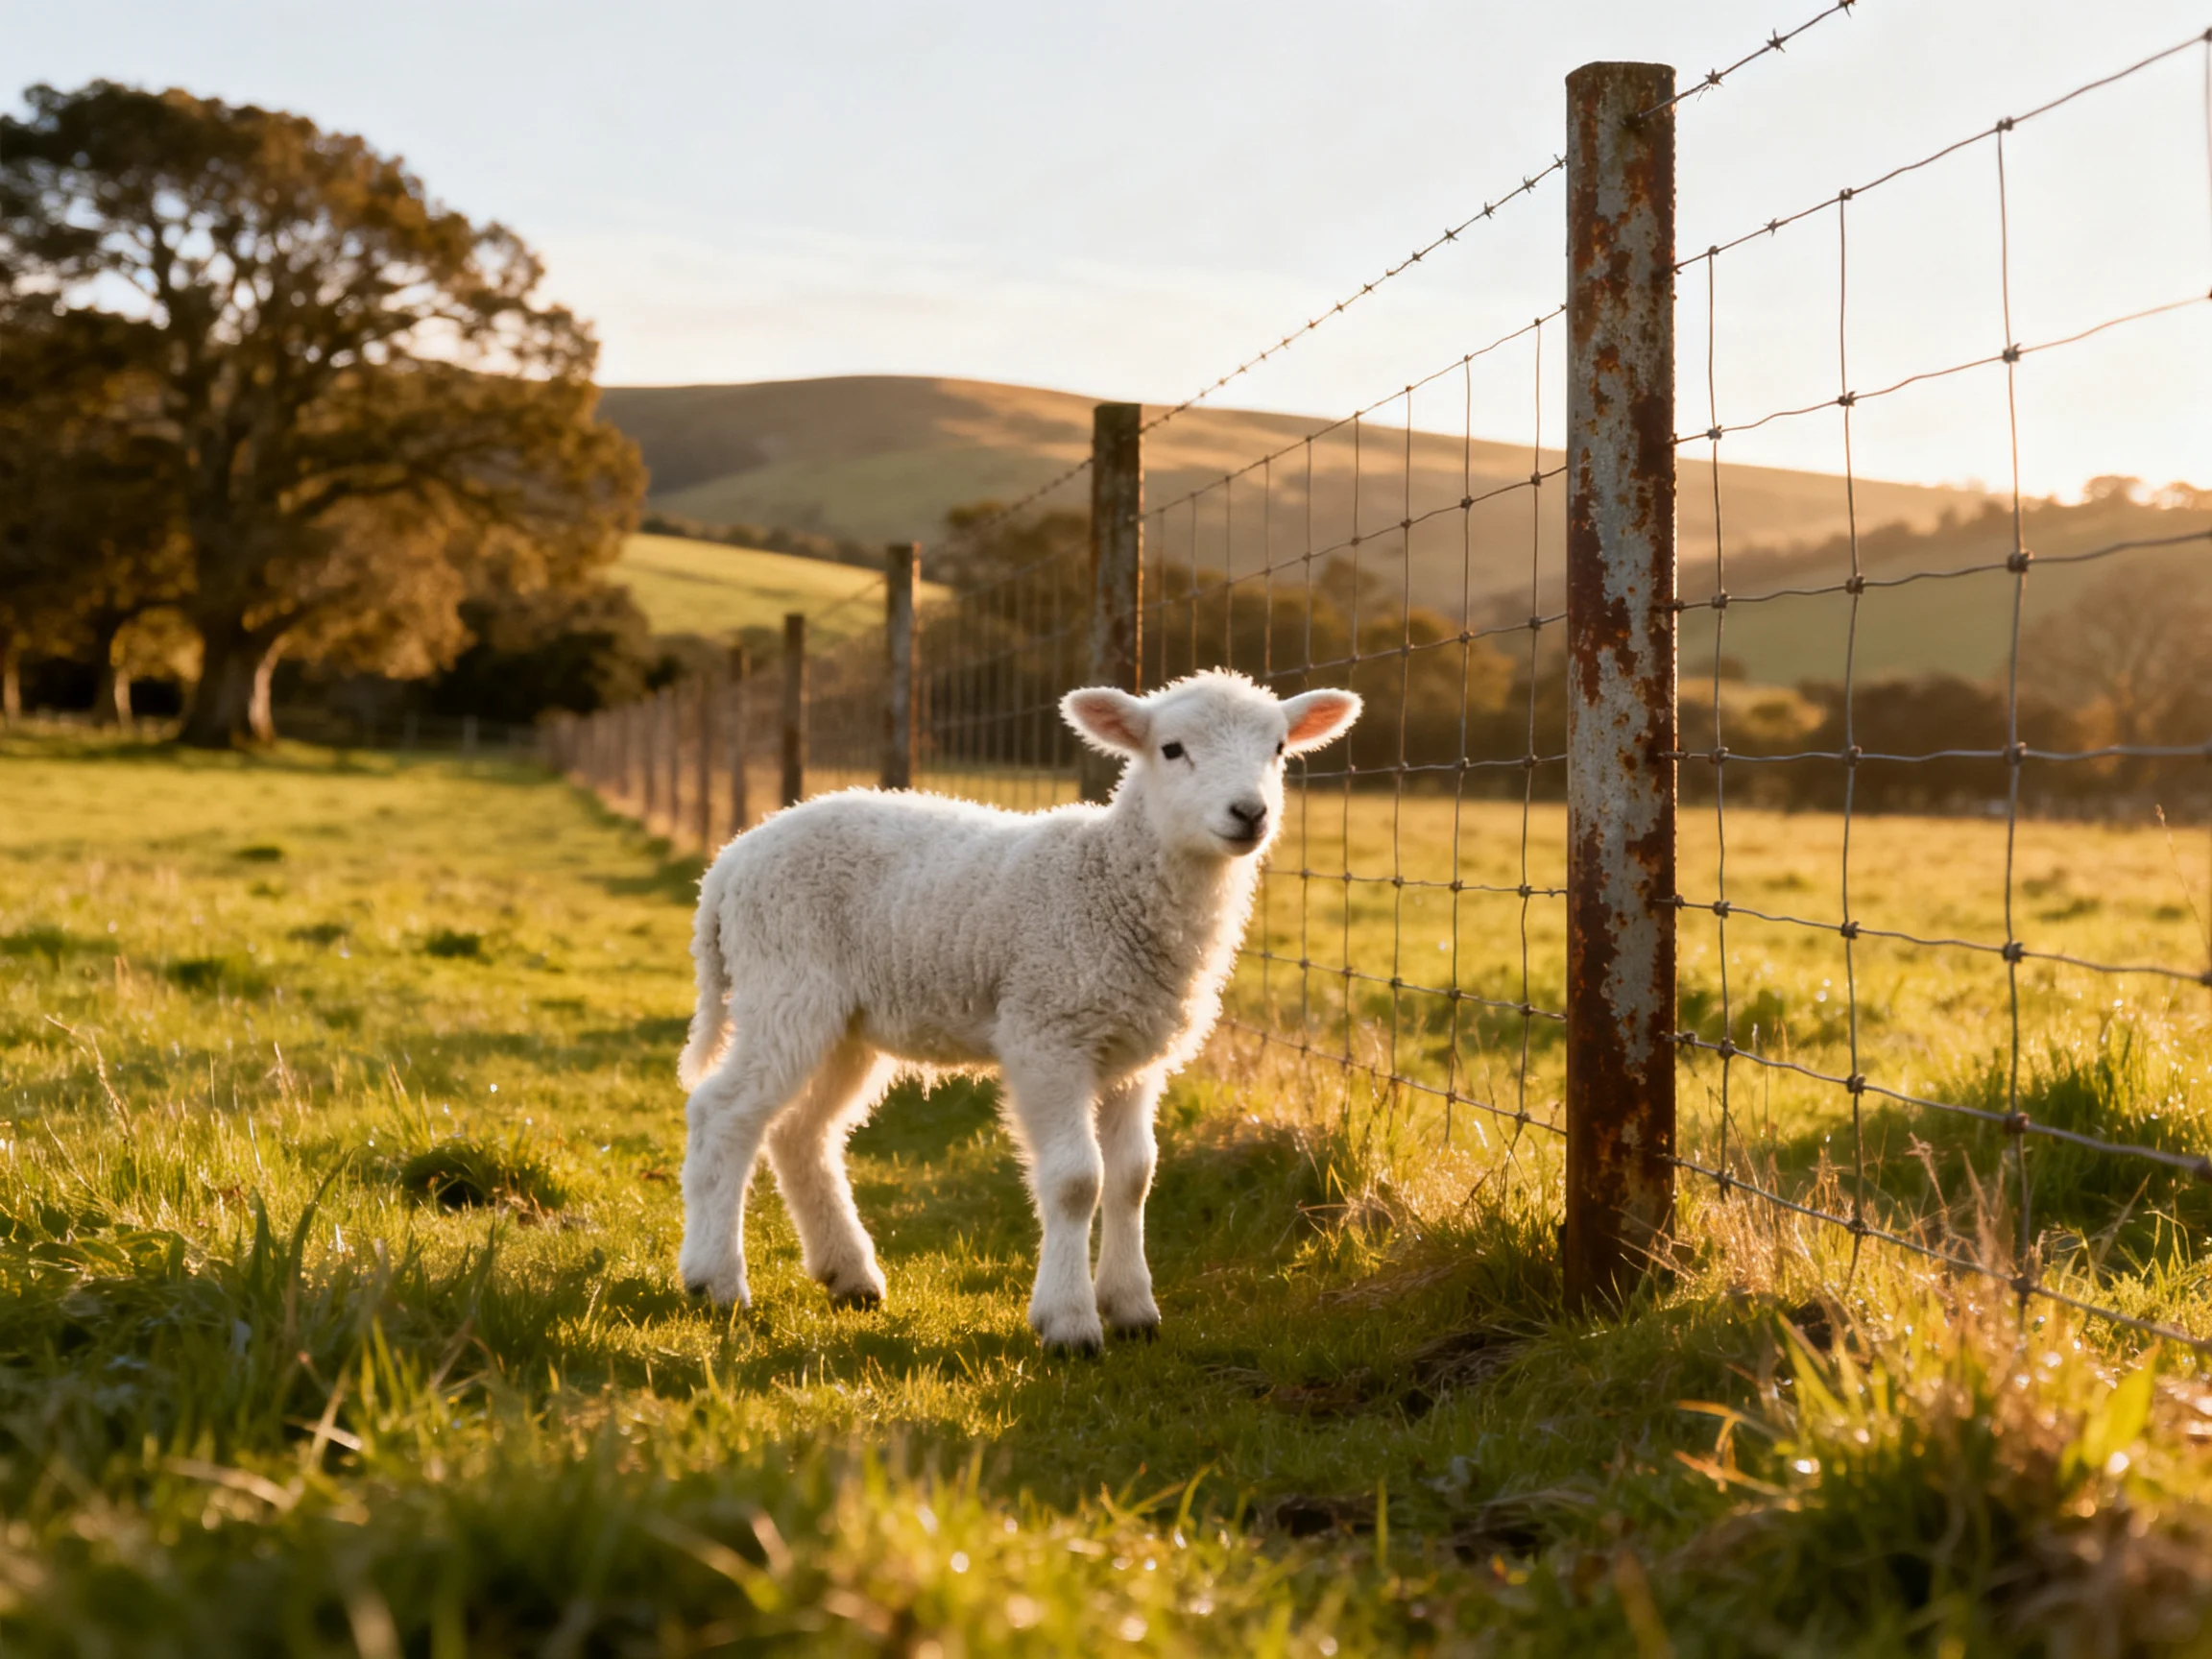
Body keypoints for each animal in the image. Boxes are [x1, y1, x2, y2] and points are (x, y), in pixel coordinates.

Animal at [673, 669, 1361, 1351]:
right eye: (1171, 749)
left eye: (1278, 749)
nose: (1250, 812)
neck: (1109, 881)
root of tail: (730, 864)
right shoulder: (1047, 1033)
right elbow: (1077, 1180)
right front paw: (1070, 1322)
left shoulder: (1133, 1054)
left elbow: (1134, 1176)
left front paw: (1132, 1308)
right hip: (786, 985)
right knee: (722, 1114)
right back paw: (716, 1280)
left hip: (846, 1023)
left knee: (799, 1133)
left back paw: (850, 1276)